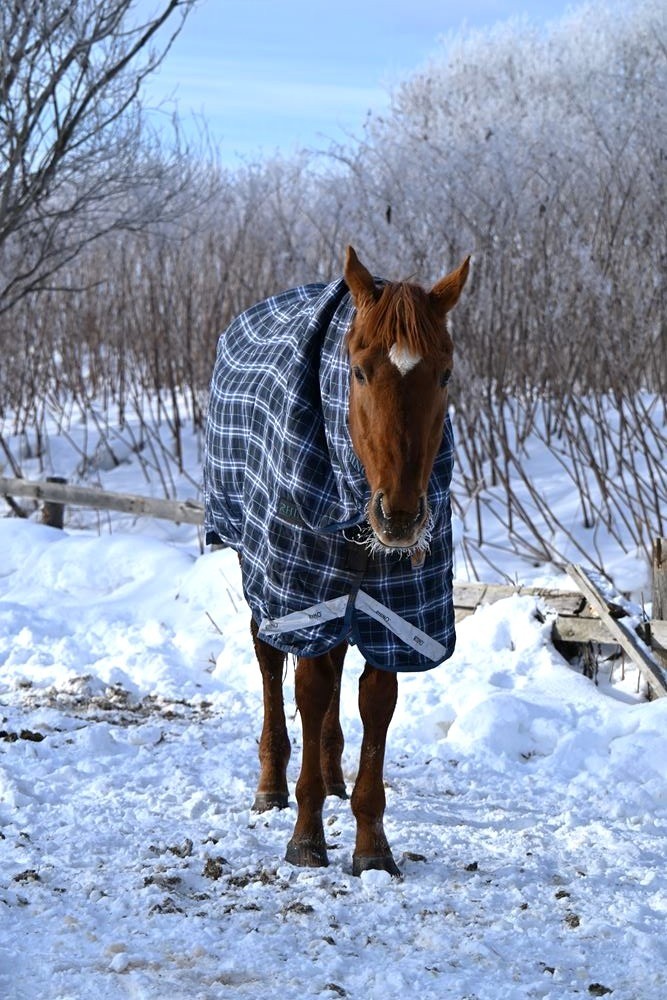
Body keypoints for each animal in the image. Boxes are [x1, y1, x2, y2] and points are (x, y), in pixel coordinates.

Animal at [204, 244, 470, 876]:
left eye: (445, 373)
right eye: (359, 370)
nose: (400, 517)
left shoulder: (395, 612)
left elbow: (374, 705)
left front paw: (372, 845)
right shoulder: (304, 595)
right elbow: (309, 688)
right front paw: (305, 837)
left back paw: (331, 776)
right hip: (267, 576)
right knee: (270, 662)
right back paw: (273, 783)